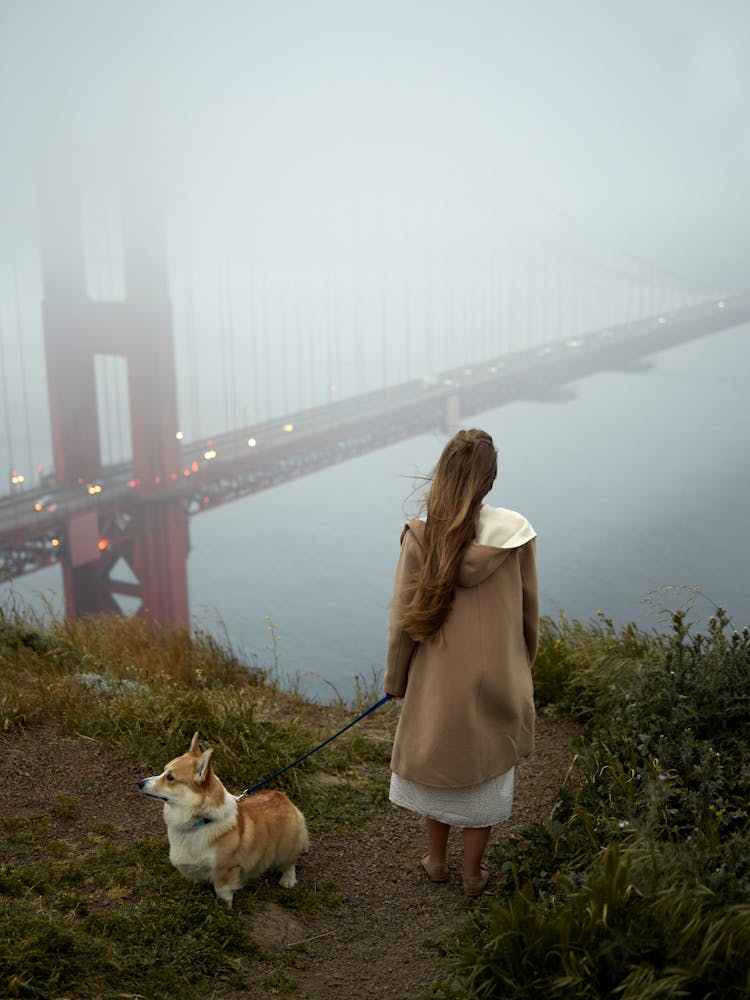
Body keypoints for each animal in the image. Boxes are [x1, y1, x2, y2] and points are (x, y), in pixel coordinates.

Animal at [138, 732, 308, 912]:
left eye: (170, 777)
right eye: (164, 771)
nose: (139, 783)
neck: (201, 822)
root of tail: (283, 797)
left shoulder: (226, 870)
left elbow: (222, 891)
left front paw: (223, 909)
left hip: (286, 848)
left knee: (290, 863)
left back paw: (288, 880)